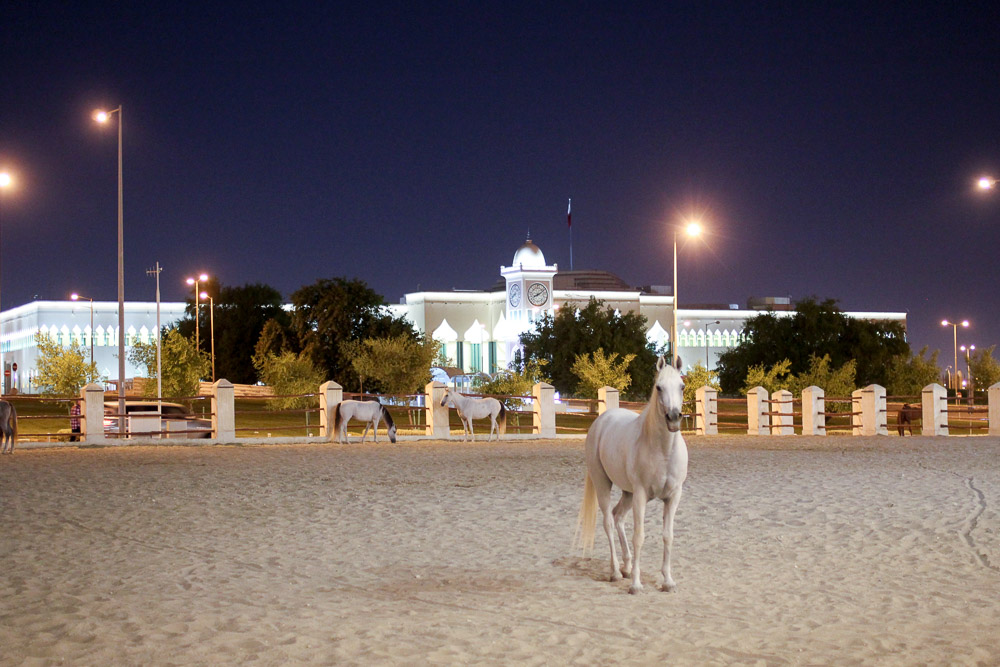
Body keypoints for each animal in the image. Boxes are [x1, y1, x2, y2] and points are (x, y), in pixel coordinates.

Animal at [580, 354, 688, 596]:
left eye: (682, 386)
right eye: (659, 387)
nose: (673, 418)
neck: (662, 451)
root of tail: (601, 421)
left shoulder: (673, 497)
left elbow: (668, 536)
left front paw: (668, 581)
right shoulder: (640, 495)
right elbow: (639, 536)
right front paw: (636, 585)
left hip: (627, 493)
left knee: (618, 517)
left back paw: (627, 567)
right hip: (603, 484)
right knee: (609, 522)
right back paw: (616, 572)